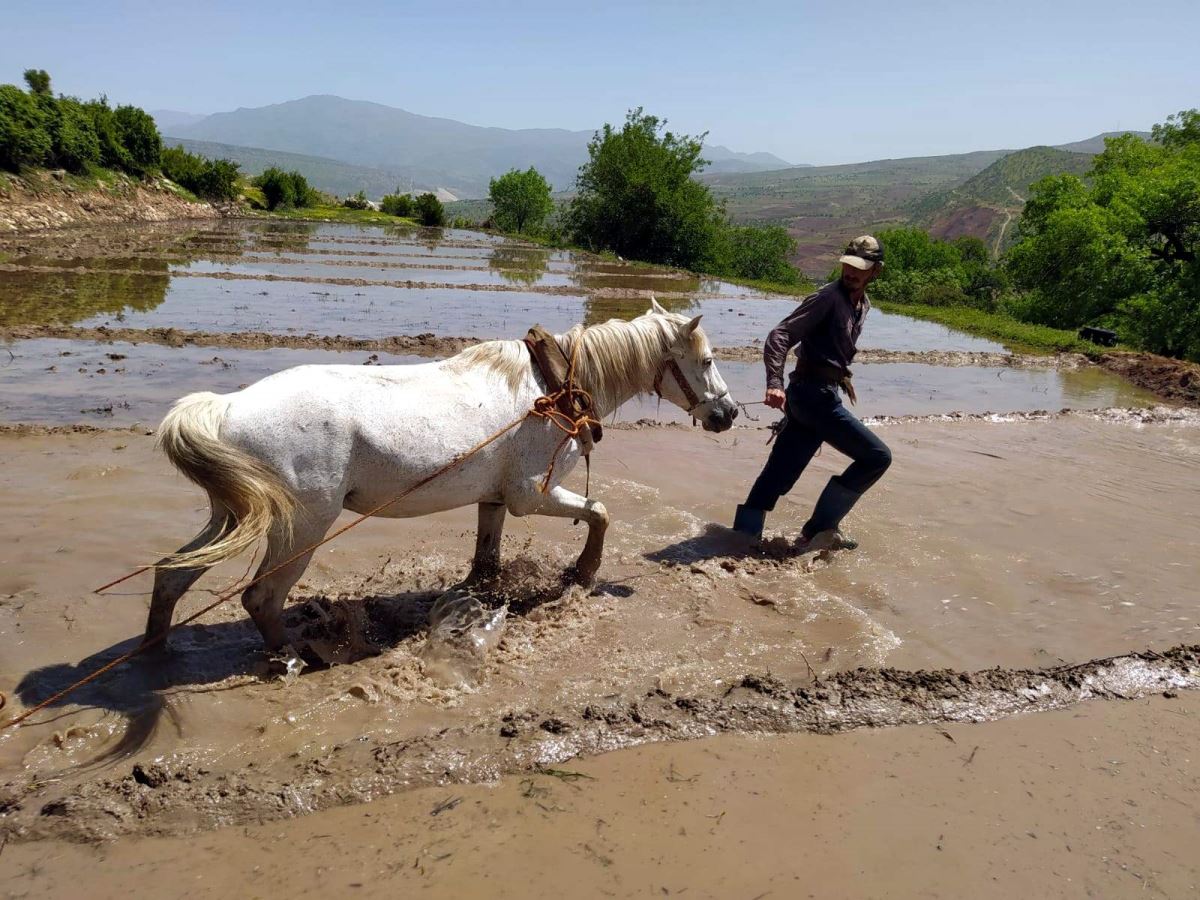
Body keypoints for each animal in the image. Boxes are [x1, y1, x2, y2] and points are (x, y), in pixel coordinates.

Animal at [145, 303, 734, 657]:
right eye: (706, 360)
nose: (727, 414)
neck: (551, 391)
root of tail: (227, 407)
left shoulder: (495, 500)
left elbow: (486, 560)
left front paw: (477, 602)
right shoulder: (530, 494)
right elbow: (600, 514)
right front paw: (583, 573)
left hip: (233, 516)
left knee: (172, 574)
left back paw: (155, 651)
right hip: (303, 527)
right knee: (261, 598)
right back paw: (292, 656)